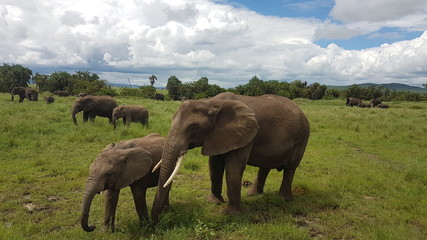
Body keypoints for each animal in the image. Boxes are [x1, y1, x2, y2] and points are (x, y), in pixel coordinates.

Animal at [152, 91, 310, 221]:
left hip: (302, 137)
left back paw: (284, 199)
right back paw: (253, 194)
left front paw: (232, 214)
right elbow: (214, 165)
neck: (211, 102)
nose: (158, 216)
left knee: (290, 168)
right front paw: (214, 202)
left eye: (194, 127)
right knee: (266, 166)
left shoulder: (245, 134)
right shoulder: (217, 135)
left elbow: (234, 167)